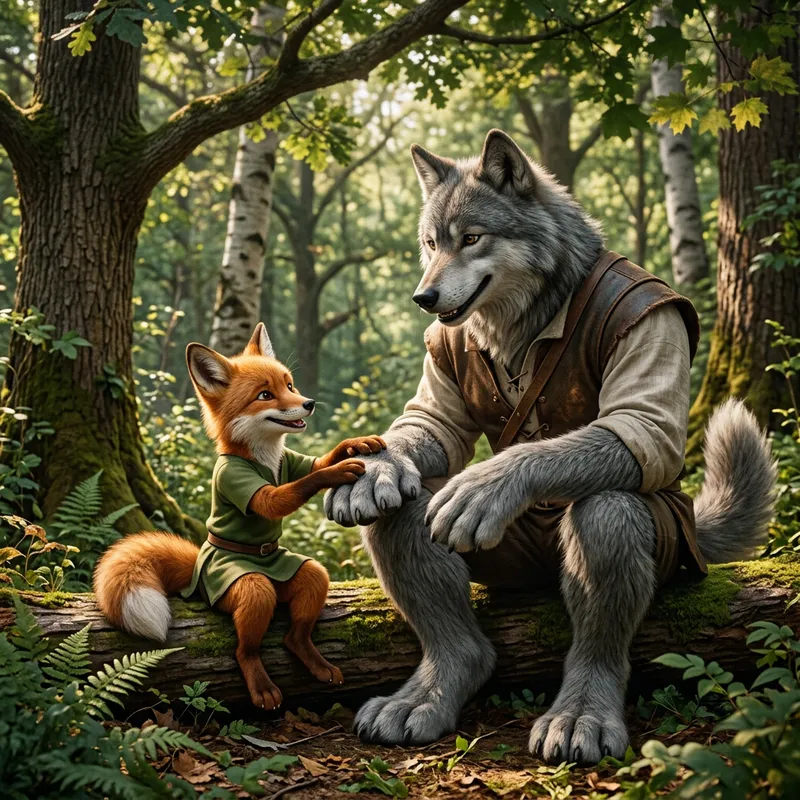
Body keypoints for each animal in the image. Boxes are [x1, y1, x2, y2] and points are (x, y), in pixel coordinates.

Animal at [94, 322, 385, 709]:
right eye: (265, 395)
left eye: (289, 385)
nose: (308, 404)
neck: (263, 457)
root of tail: (196, 576)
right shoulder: (237, 480)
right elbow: (285, 494)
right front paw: (335, 473)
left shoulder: (291, 461)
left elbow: (314, 463)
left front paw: (354, 444)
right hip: (247, 590)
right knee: (245, 647)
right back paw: (262, 688)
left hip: (304, 574)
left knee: (301, 617)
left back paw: (316, 661)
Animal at [324, 129, 777, 765]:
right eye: (431, 243)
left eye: (472, 238)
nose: (423, 297)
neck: (526, 320)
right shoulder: (436, 402)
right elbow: (425, 431)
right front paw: (373, 466)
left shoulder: (642, 411)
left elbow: (598, 440)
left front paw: (486, 484)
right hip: (459, 546)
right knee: (416, 529)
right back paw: (422, 699)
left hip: (639, 531)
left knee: (605, 519)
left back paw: (580, 717)